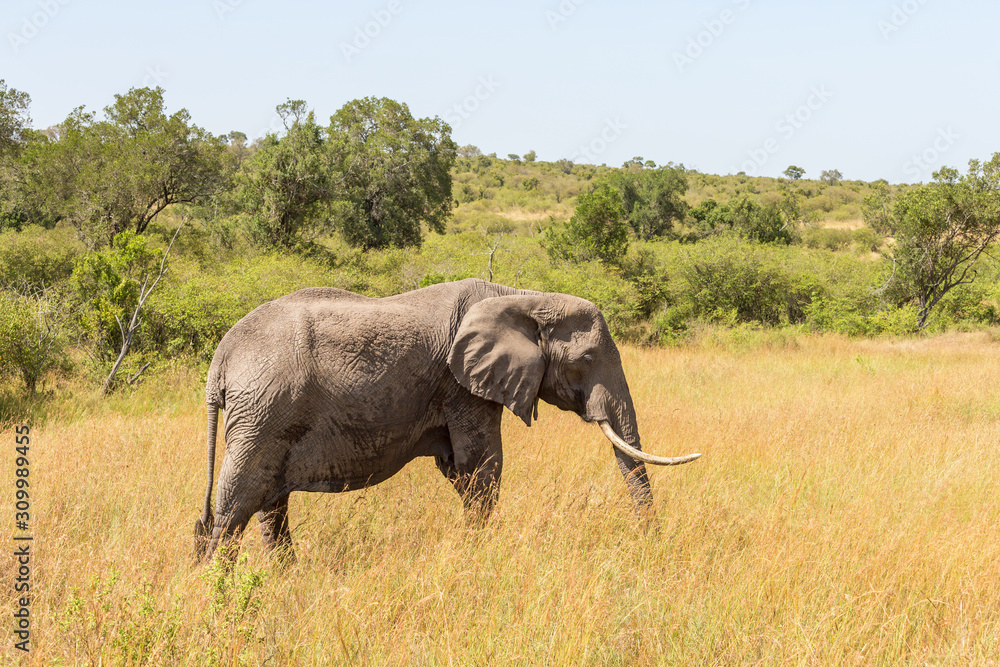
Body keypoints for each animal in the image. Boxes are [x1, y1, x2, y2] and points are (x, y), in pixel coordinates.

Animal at [194, 278, 700, 561]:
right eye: (588, 359)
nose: (651, 545)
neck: (524, 298)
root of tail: (222, 356)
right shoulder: (462, 386)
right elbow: (483, 466)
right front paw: (482, 555)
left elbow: (459, 469)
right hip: (263, 409)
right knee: (237, 503)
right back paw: (219, 587)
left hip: (265, 414)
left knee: (268, 503)